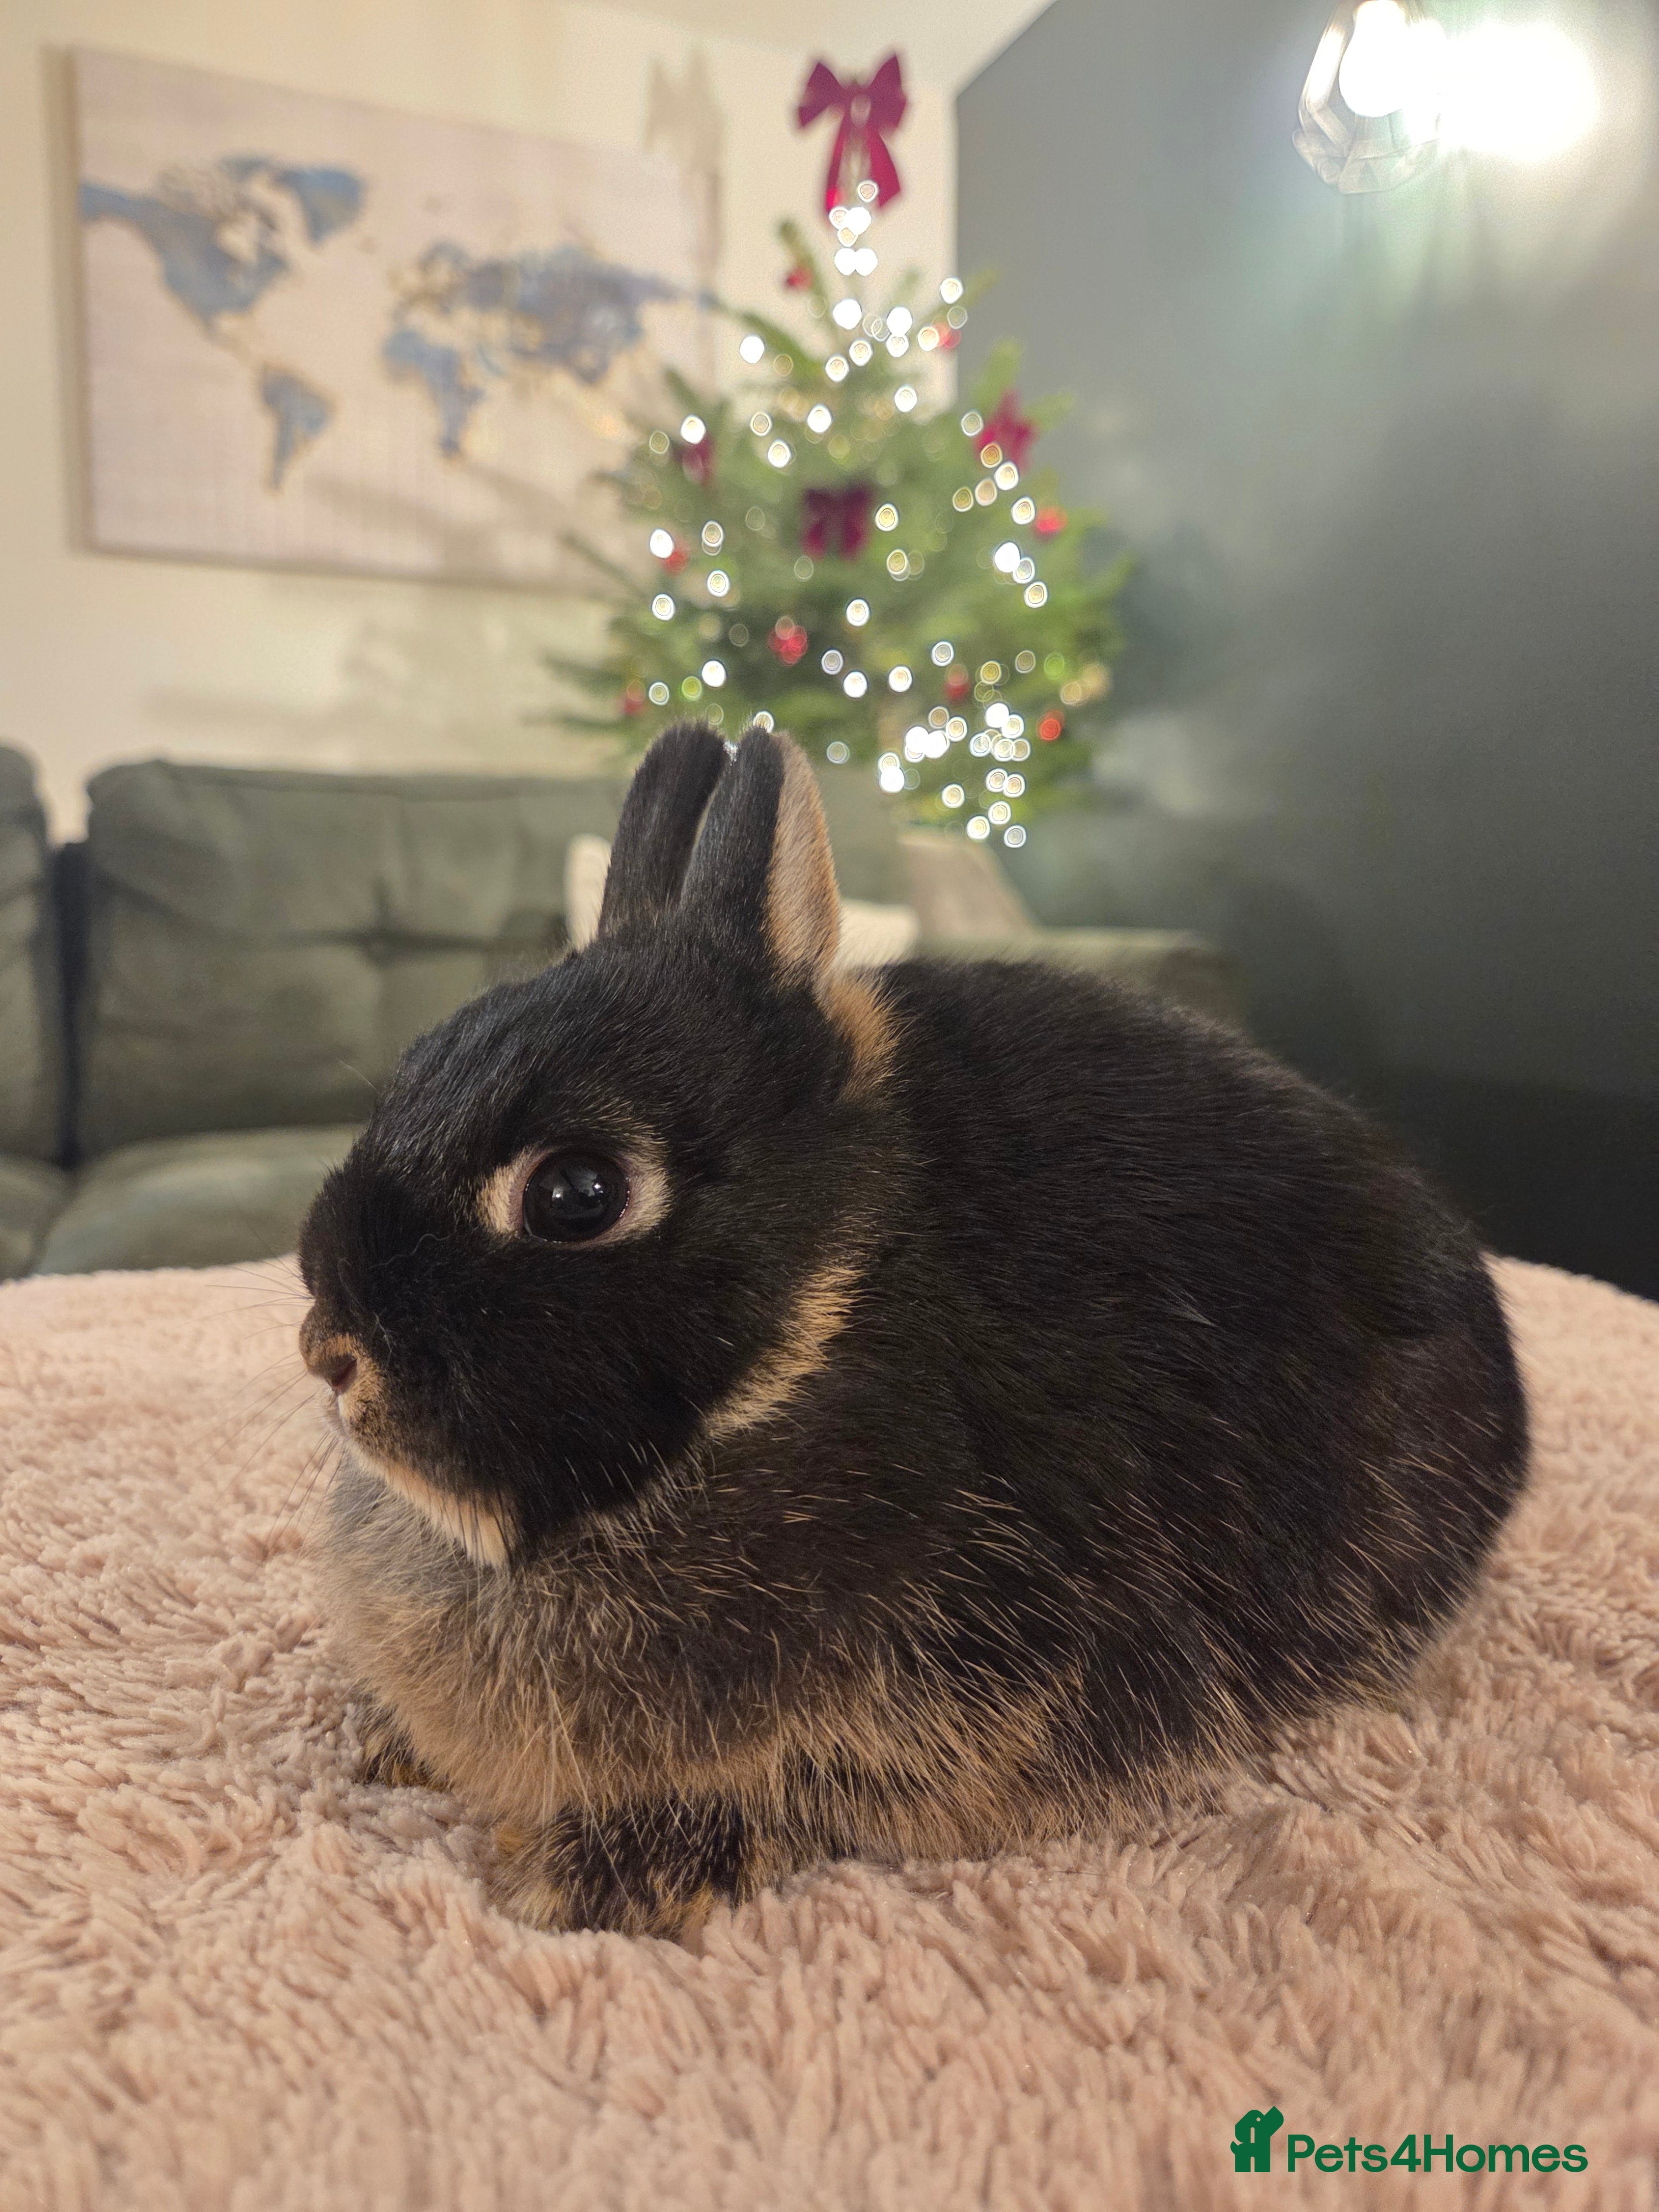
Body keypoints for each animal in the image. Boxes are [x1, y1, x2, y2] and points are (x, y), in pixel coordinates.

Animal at [297, 719, 1528, 1940]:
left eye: (577, 1195)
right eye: (411, 1069)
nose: (329, 1352)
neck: (829, 1309)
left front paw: (605, 1875)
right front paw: (397, 1747)